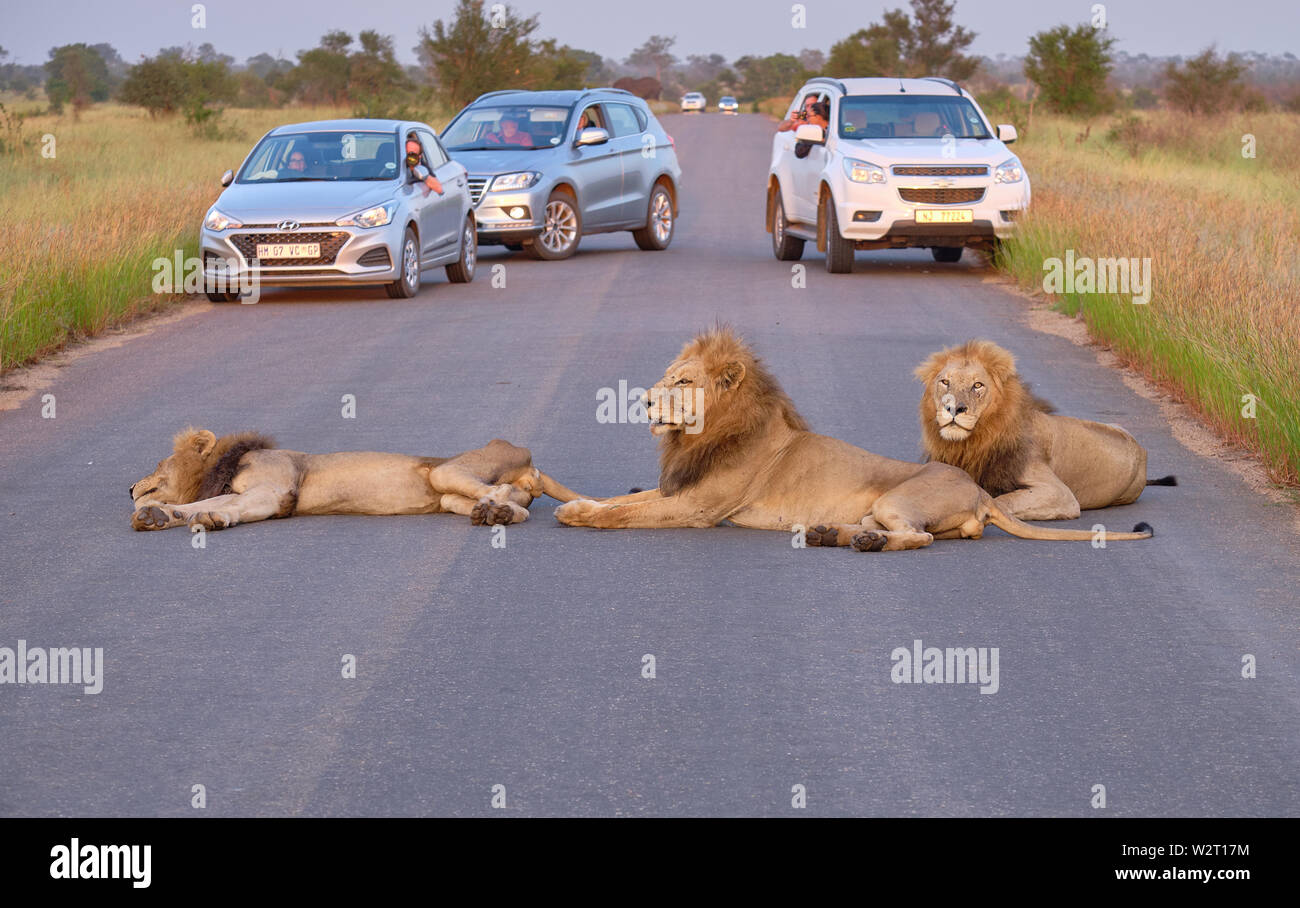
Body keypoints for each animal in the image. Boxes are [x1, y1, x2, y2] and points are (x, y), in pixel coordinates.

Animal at [915, 338, 1180, 522]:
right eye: (945, 382)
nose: (953, 408)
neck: (975, 441)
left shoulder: (1059, 494)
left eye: (977, 385)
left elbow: (1000, 500)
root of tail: (1141, 449)